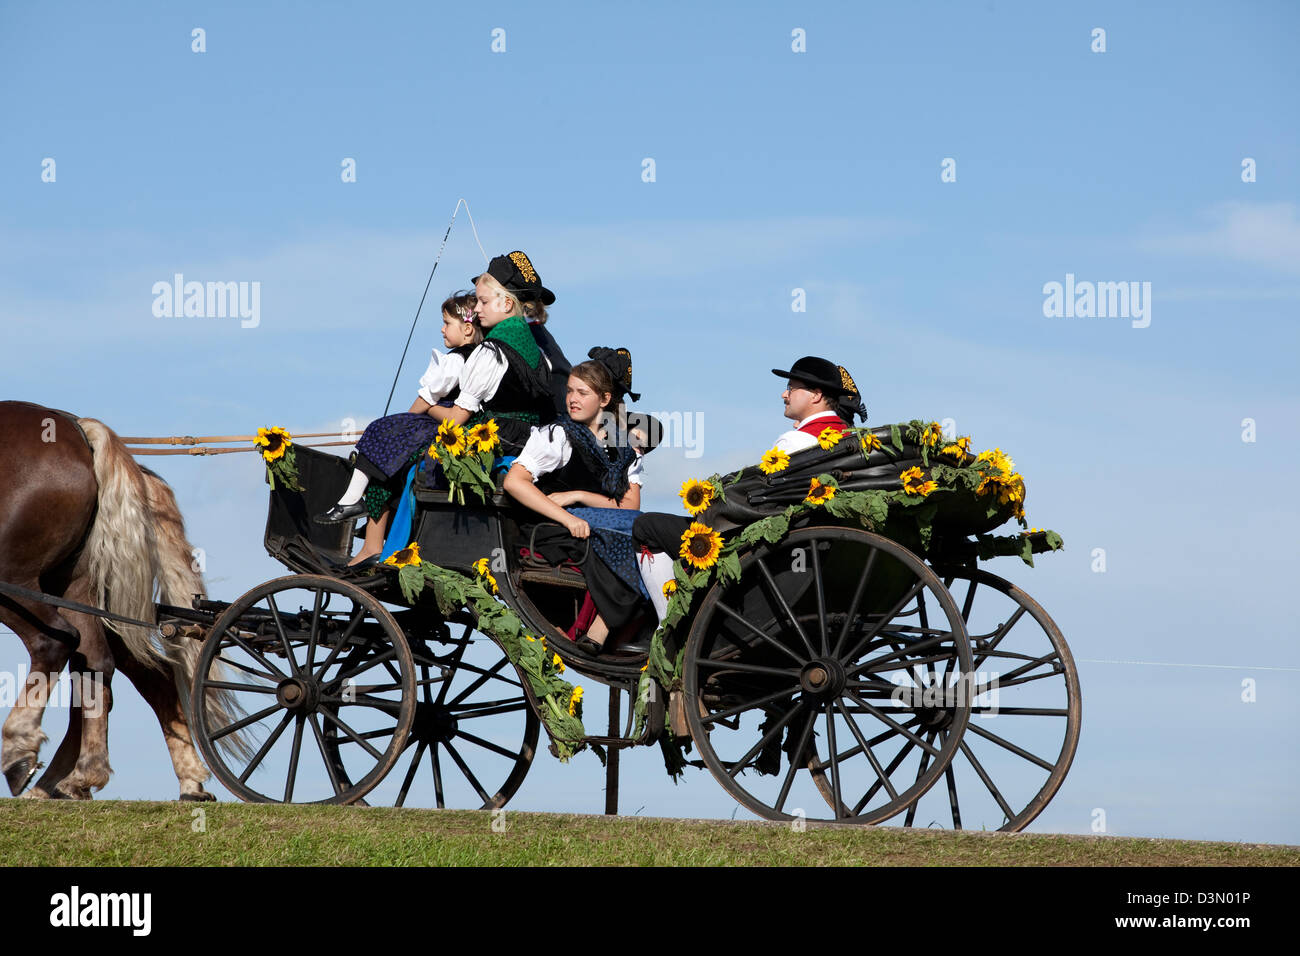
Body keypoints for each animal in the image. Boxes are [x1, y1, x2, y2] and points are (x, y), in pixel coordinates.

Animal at [0, 400, 246, 806]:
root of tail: (78, 428)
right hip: (75, 589)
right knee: (103, 665)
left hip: (17, 579)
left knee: (56, 645)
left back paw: (24, 754)